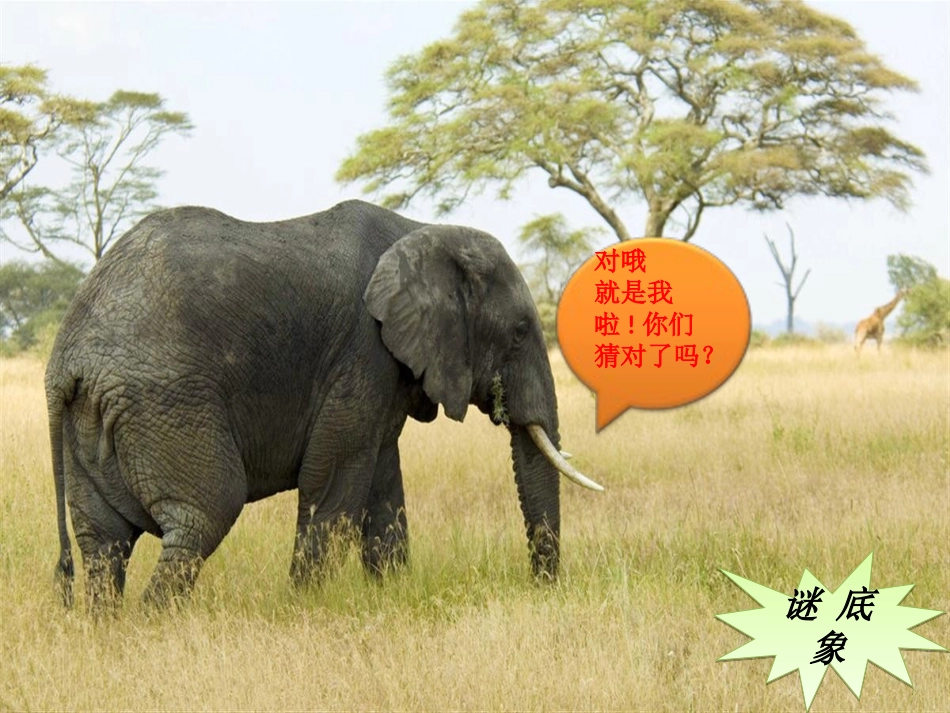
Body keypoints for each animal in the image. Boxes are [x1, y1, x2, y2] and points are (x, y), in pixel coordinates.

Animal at [46, 199, 602, 609]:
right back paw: (156, 624)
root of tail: (66, 358)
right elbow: (334, 482)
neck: (422, 231)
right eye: (520, 331)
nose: (542, 588)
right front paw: (304, 606)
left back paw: (109, 630)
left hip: (94, 418)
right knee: (203, 515)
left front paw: (390, 594)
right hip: (165, 400)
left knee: (104, 543)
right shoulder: (363, 351)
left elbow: (382, 484)